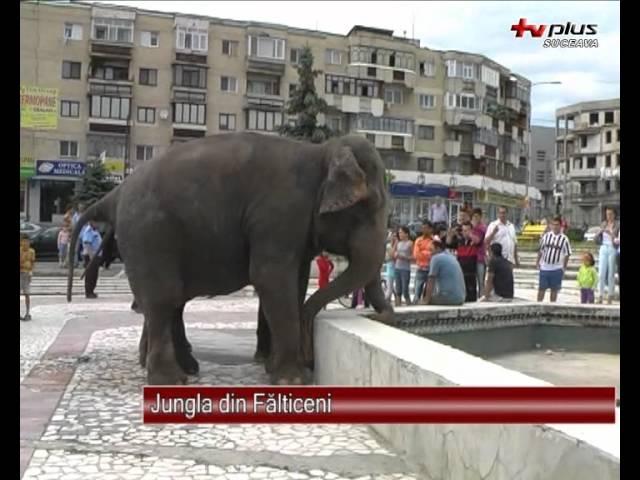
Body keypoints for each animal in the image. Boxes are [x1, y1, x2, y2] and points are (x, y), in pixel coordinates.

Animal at [67, 132, 392, 386]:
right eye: (370, 205)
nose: (310, 356)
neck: (322, 150)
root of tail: (116, 193)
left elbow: (295, 283)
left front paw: (273, 368)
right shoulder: (279, 214)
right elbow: (271, 279)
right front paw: (292, 379)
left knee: (170, 301)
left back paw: (187, 369)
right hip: (148, 234)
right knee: (163, 299)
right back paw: (171, 380)